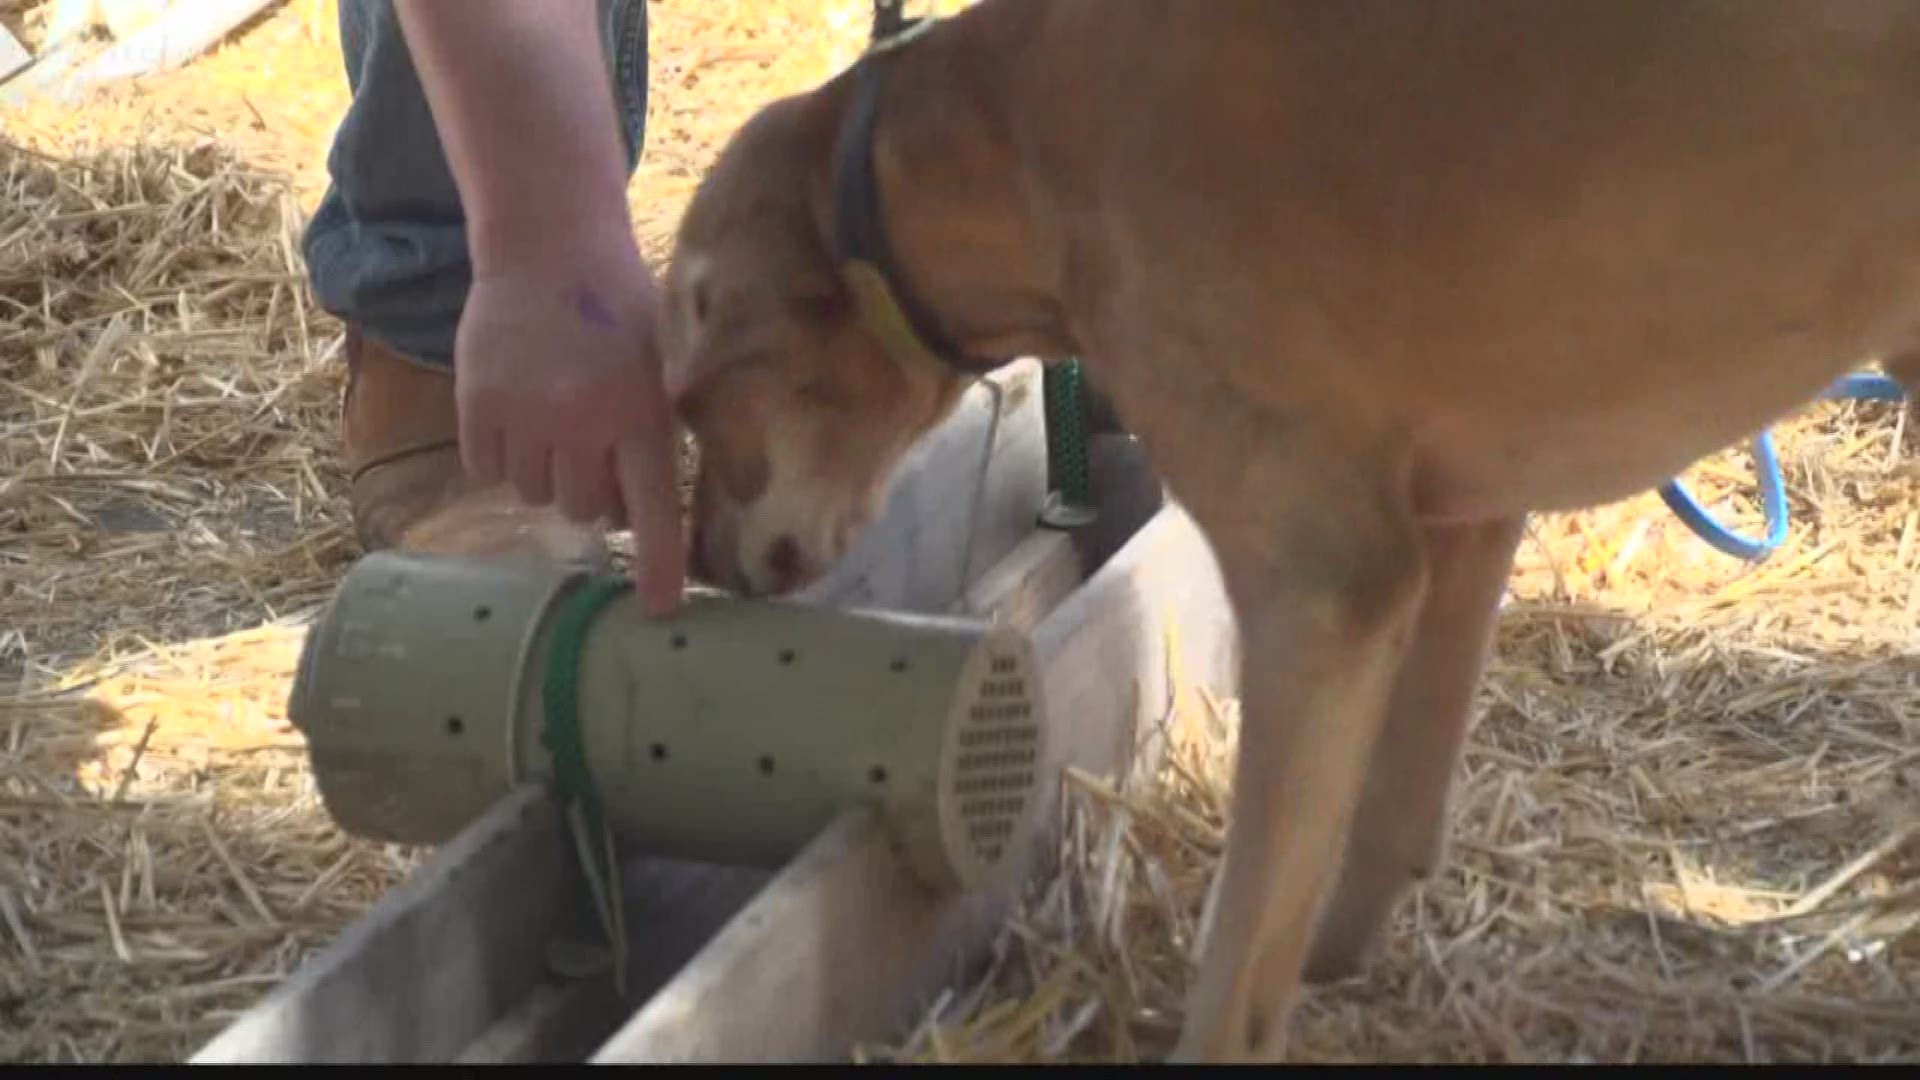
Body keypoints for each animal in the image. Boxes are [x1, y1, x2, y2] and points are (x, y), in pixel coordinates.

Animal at [656, 2, 1920, 1060]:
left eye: (691, 401)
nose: (704, 563)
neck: (1020, 144)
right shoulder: (1455, 527)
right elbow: (1389, 820)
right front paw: (1343, 959)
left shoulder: (1322, 590)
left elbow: (1239, 961)